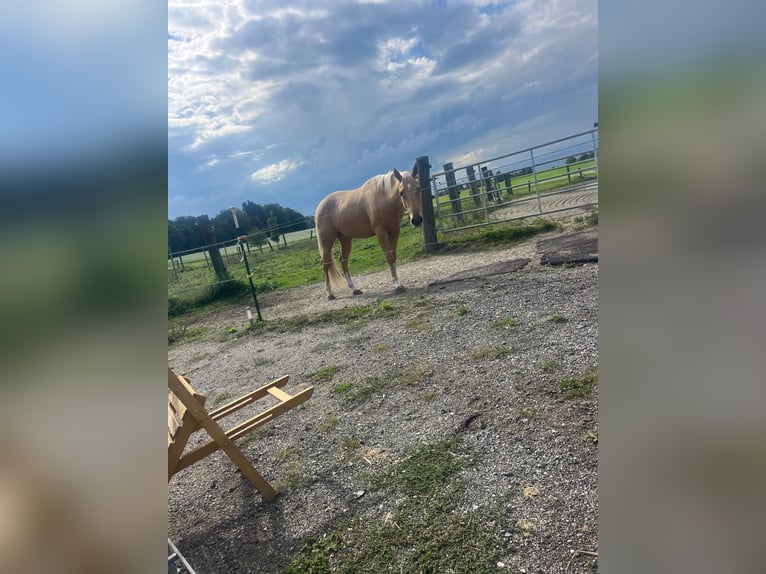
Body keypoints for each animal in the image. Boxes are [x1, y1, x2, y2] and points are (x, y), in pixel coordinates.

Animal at [315, 161, 423, 300]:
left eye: (418, 188)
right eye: (401, 192)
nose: (416, 220)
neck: (383, 197)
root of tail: (320, 206)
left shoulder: (395, 230)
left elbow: (393, 256)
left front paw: (398, 283)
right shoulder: (380, 231)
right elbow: (389, 257)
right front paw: (397, 285)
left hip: (345, 239)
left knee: (343, 261)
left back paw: (354, 289)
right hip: (327, 241)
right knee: (326, 264)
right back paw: (329, 294)